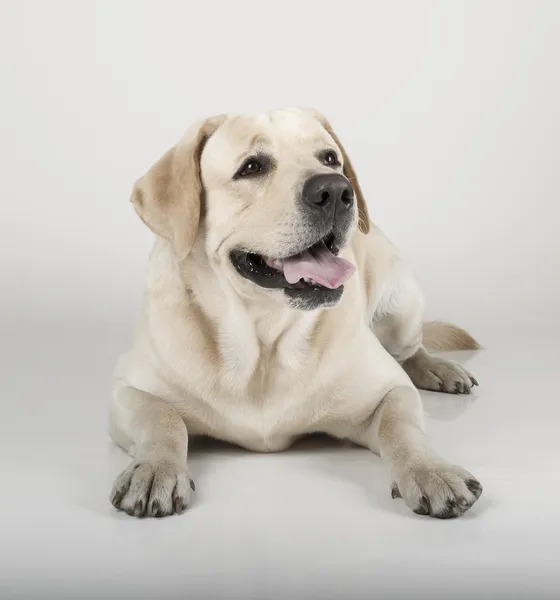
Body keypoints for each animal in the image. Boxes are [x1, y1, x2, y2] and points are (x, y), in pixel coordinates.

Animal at [109, 109, 482, 520]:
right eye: (252, 167)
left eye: (330, 158)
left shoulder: (389, 390)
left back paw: (438, 368)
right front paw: (155, 467)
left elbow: (402, 428)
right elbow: (163, 418)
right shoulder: (128, 390)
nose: (336, 190)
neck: (263, 342)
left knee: (412, 350)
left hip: (401, 306)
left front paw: (431, 470)